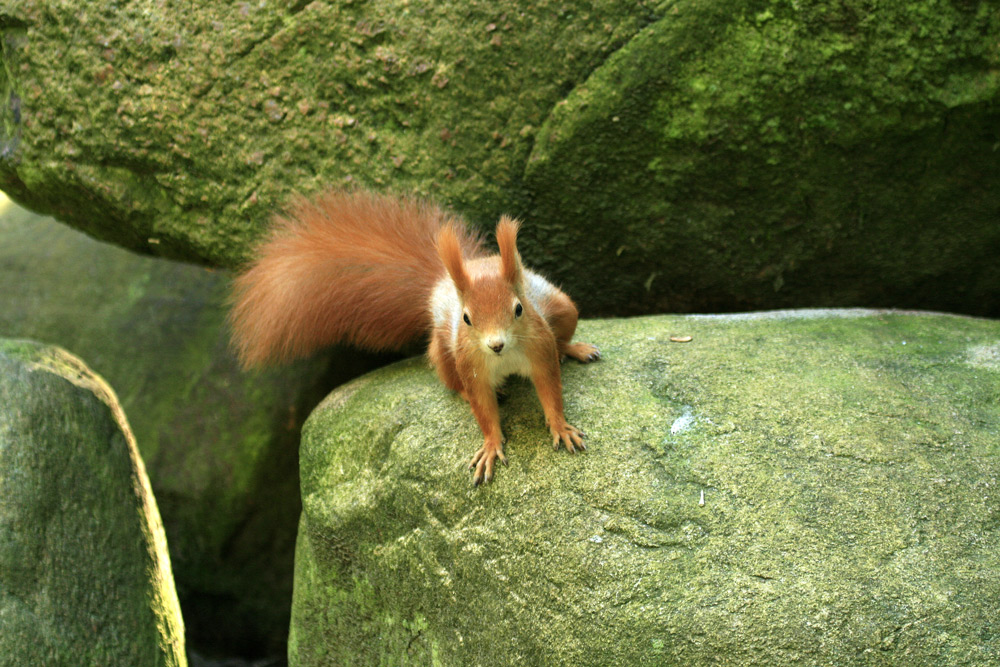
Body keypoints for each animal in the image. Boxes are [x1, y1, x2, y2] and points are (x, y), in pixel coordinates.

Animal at [230, 188, 596, 486]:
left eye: (519, 309)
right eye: (466, 318)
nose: (496, 344)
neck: (504, 358)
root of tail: (441, 283)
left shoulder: (539, 347)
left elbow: (550, 389)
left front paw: (560, 426)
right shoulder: (471, 364)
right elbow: (483, 407)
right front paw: (491, 445)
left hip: (561, 307)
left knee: (563, 330)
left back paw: (574, 348)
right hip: (443, 352)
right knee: (450, 379)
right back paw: (466, 392)